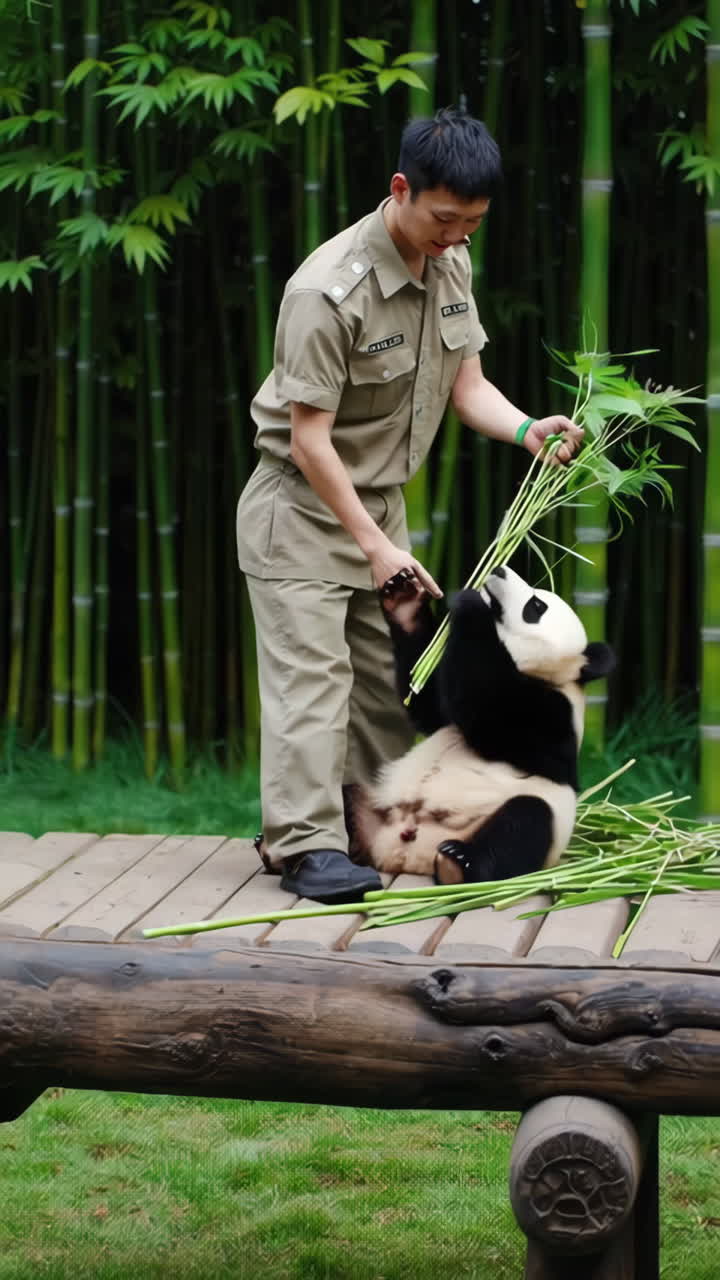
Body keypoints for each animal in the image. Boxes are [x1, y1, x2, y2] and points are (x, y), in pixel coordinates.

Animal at [352, 566, 616, 885]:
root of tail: (404, 858)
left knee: (524, 821)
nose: (500, 569)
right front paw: (405, 600)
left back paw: (460, 863)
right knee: (349, 798)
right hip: (377, 808)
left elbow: (494, 720)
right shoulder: (446, 707)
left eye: (536, 606)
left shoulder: (556, 716)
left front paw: (471, 605)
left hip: (520, 820)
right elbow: (430, 704)